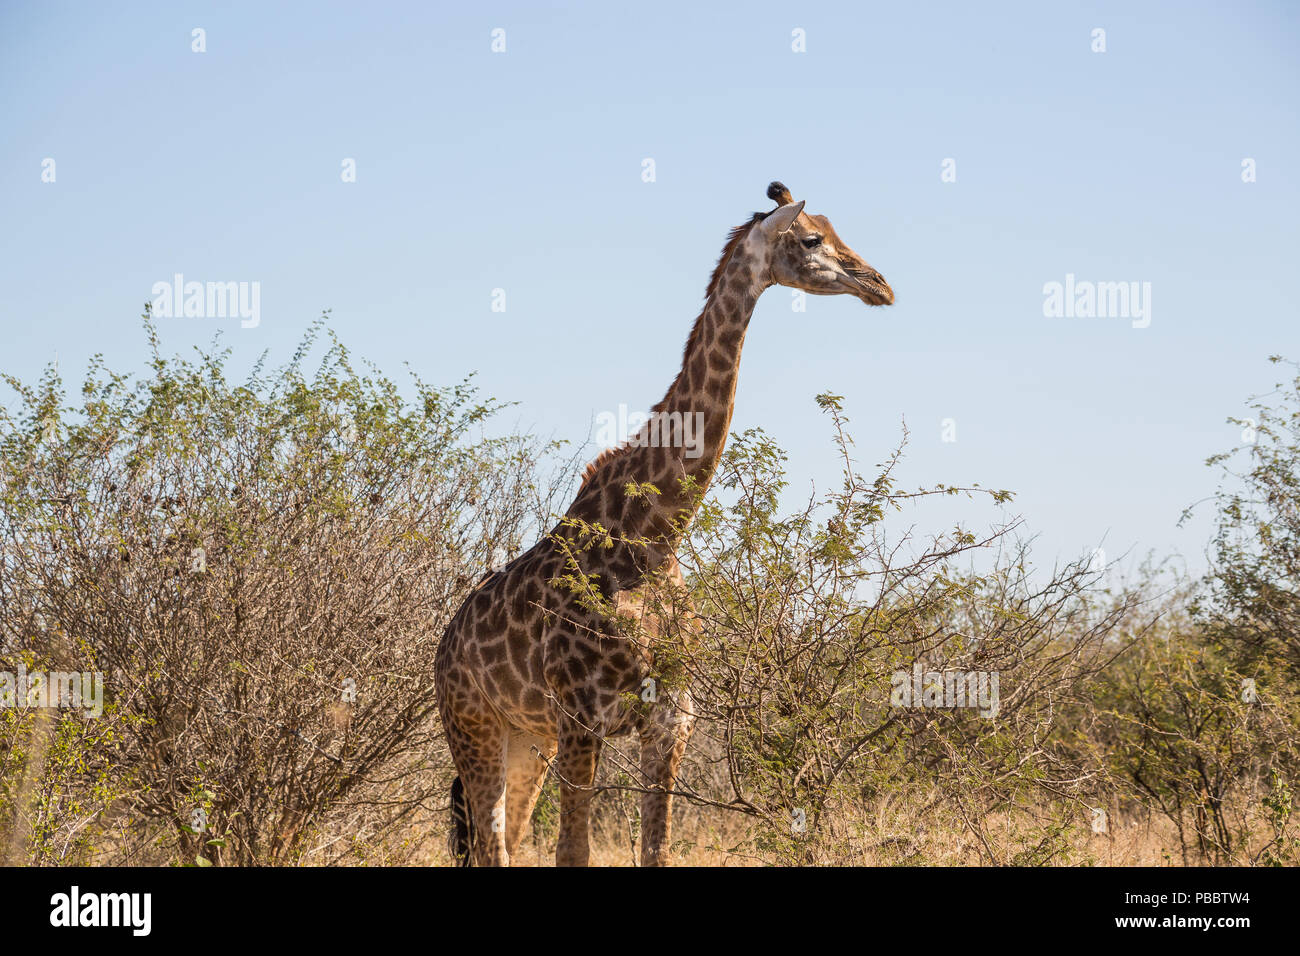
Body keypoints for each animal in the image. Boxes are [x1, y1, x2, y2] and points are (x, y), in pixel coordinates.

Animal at [436, 180, 894, 868]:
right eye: (813, 239)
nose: (880, 284)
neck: (652, 535)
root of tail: (444, 648)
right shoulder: (583, 717)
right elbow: (574, 852)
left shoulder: (668, 722)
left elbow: (657, 851)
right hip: (474, 726)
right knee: (492, 848)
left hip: (526, 739)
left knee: (508, 840)